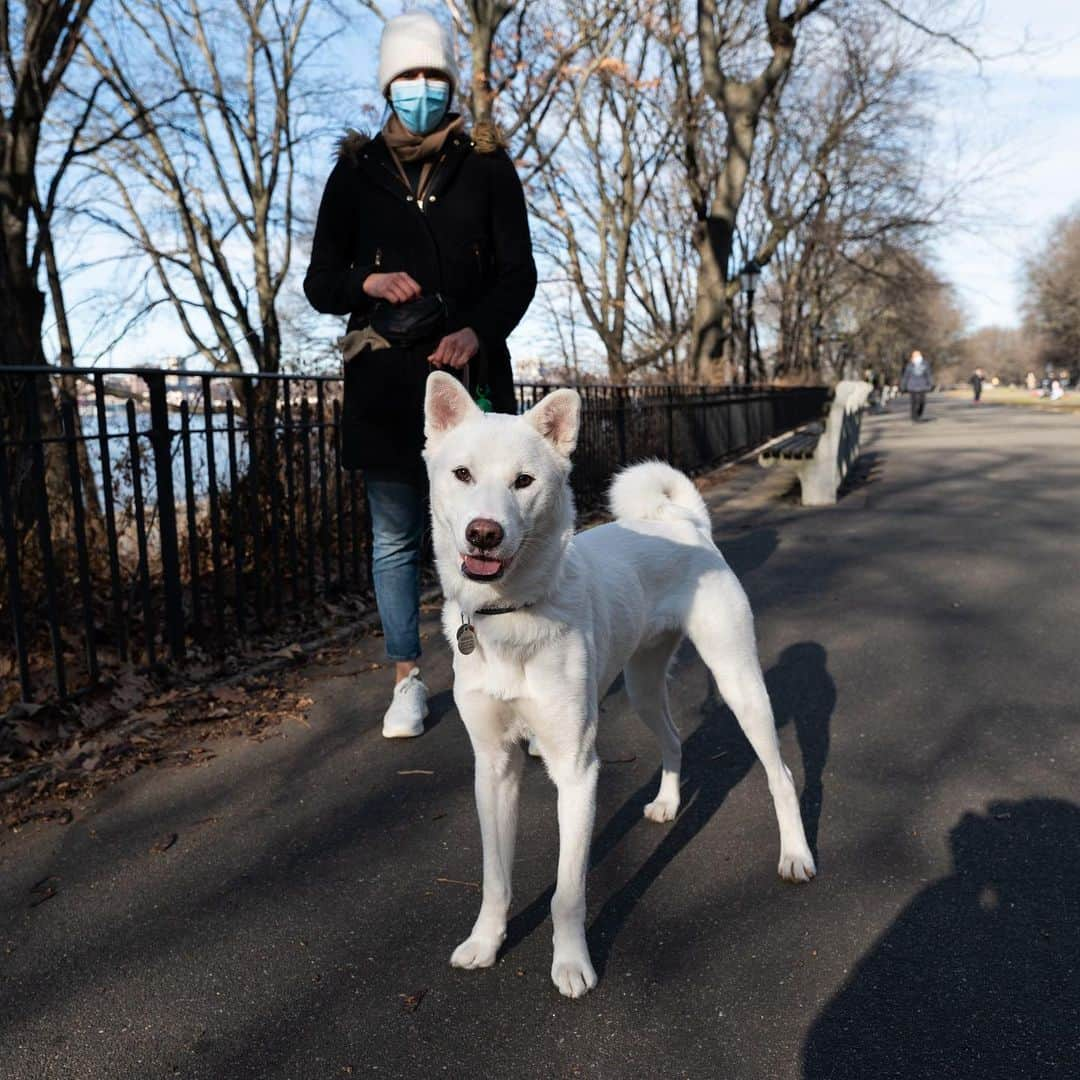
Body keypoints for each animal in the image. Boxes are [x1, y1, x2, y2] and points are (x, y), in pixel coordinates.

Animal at [423, 375, 816, 997]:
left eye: (524, 481)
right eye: (462, 474)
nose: (483, 534)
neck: (512, 613)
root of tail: (686, 524)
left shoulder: (577, 771)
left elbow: (567, 893)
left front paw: (570, 963)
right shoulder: (494, 765)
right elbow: (495, 877)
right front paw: (486, 942)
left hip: (739, 682)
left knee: (779, 774)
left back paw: (796, 854)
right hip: (642, 686)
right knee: (675, 739)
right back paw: (668, 802)